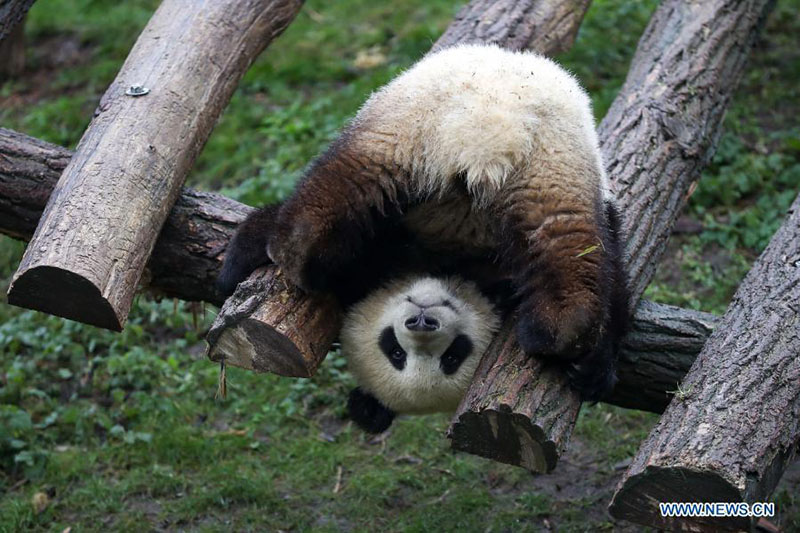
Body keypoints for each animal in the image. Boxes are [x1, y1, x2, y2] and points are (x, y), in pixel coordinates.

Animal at [219, 43, 632, 434]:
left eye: (452, 355)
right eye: (395, 351)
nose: (421, 321)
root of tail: (486, 139)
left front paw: (593, 372)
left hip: (436, 133)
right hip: (459, 140)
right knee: (564, 239)